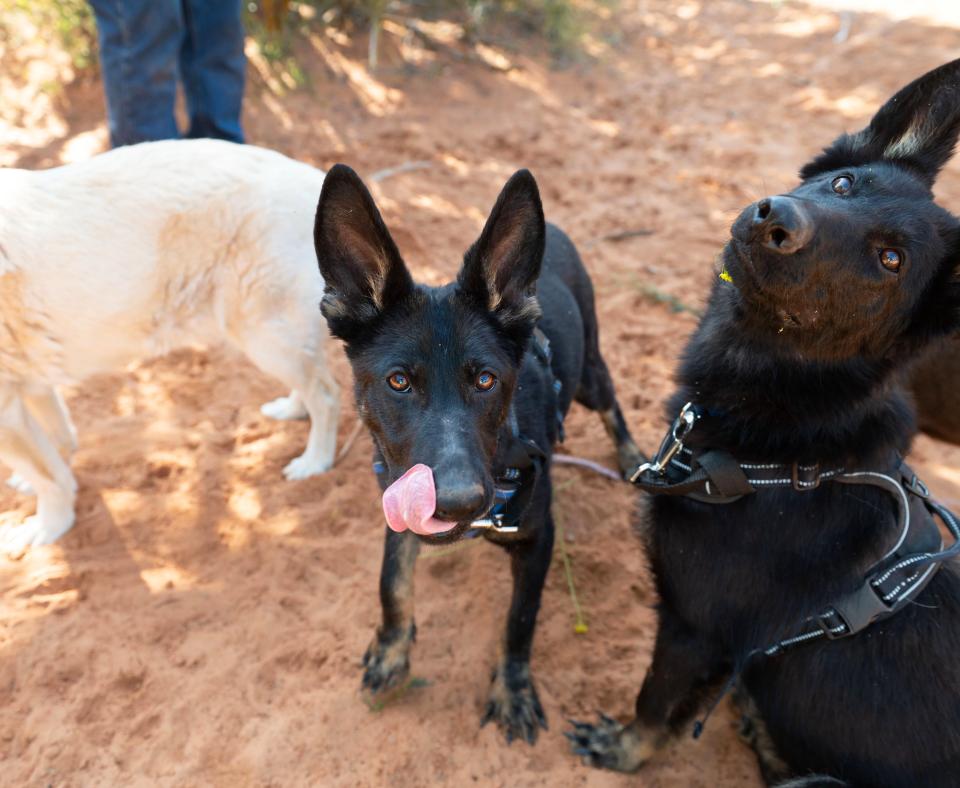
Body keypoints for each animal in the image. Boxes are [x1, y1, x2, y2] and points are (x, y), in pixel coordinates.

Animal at [0, 139, 340, 552]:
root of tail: (312, 177)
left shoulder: (7, 413)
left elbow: (48, 477)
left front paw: (49, 526)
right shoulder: (33, 385)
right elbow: (58, 442)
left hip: (263, 334)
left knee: (326, 394)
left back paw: (315, 461)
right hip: (278, 336)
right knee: (311, 381)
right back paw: (292, 409)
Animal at [316, 163, 640, 740]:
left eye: (486, 380)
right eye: (398, 381)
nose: (460, 502)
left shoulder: (537, 539)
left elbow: (519, 623)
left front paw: (513, 691)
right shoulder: (395, 499)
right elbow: (392, 582)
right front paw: (391, 650)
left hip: (591, 374)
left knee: (613, 406)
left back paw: (631, 457)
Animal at [568, 60, 960, 780]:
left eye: (890, 260)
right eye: (842, 183)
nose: (776, 217)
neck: (787, 458)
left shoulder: (692, 629)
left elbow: (651, 704)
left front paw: (621, 752)